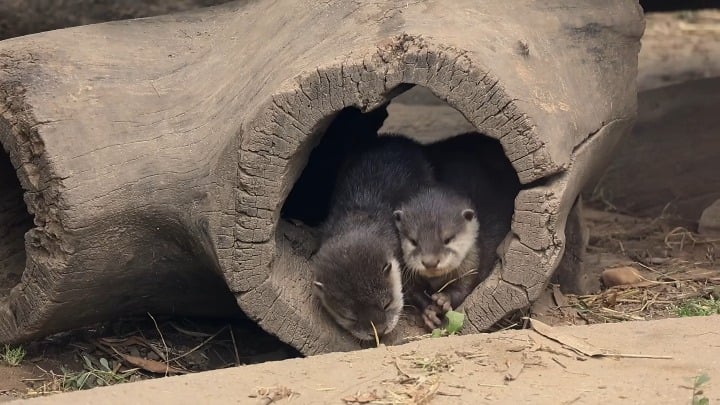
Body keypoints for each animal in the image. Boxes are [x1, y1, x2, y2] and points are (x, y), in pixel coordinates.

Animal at [394, 133, 520, 330]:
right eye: (413, 241)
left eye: (448, 239)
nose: (430, 262)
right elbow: (412, 291)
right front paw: (429, 311)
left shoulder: (474, 261)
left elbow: (465, 288)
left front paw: (444, 299)